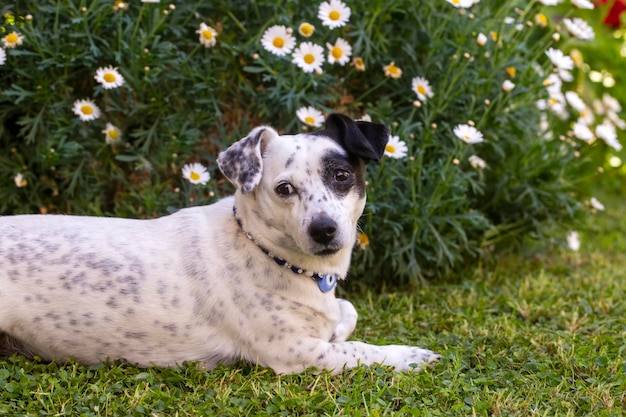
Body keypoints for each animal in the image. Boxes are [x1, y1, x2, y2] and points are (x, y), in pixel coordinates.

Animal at [0, 114, 438, 374]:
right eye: (284, 188)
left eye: (342, 175)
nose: (325, 230)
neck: (264, 250)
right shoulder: (293, 350)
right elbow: (363, 350)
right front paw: (409, 355)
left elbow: (347, 312)